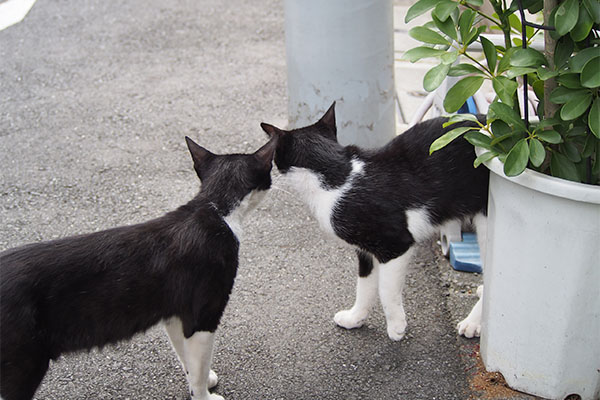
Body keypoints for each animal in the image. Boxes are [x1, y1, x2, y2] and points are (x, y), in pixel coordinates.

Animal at [0, 135, 276, 400]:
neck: (216, 209)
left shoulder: (175, 314)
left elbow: (186, 358)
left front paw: (202, 379)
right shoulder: (203, 315)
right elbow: (197, 366)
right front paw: (203, 395)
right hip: (23, 365)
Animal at [262, 104, 488, 342]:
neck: (336, 175)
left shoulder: (395, 244)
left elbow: (385, 289)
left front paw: (396, 326)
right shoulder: (365, 250)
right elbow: (365, 284)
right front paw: (355, 317)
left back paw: (473, 323)